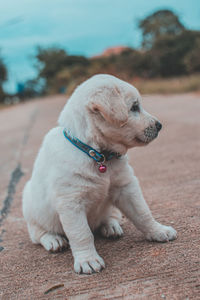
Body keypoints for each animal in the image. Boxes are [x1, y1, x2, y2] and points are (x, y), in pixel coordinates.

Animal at [22, 74, 177, 274]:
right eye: (134, 107)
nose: (159, 126)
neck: (98, 155)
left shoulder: (126, 187)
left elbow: (143, 213)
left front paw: (158, 231)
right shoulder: (71, 202)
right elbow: (82, 234)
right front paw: (87, 260)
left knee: (109, 217)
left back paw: (110, 226)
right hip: (31, 207)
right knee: (38, 233)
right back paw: (53, 239)